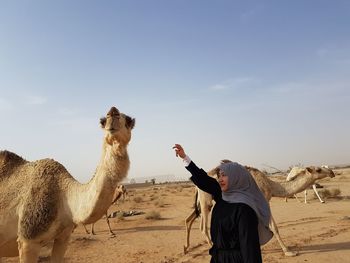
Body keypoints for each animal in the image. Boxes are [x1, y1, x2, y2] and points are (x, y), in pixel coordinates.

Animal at [0, 106, 135, 262]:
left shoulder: (63, 238)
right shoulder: (28, 239)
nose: (113, 112)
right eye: (102, 121)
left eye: (129, 120)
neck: (64, 196)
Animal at [186, 162, 336, 256]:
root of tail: (196, 186)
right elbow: (273, 227)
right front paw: (289, 251)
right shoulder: (261, 201)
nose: (332, 172)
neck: (270, 185)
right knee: (203, 226)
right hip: (205, 199)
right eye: (318, 169)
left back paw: (186, 248)